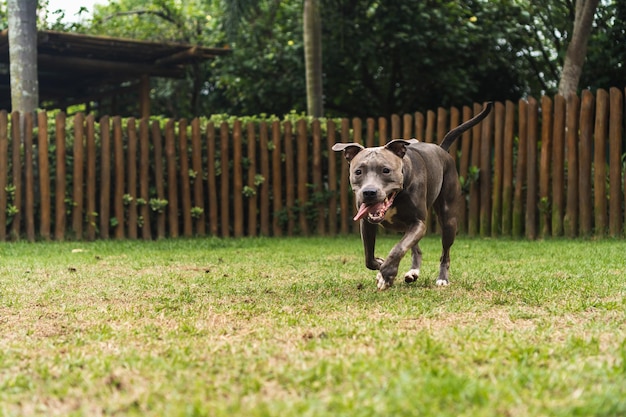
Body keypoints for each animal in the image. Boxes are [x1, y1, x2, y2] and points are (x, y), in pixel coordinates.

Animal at [332, 102, 492, 290]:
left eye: (386, 170)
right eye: (358, 171)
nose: (369, 192)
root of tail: (441, 150)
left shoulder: (418, 223)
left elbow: (399, 248)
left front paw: (386, 274)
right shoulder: (367, 222)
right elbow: (368, 256)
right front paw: (380, 264)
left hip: (448, 220)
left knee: (445, 253)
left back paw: (442, 278)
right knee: (416, 249)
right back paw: (413, 272)